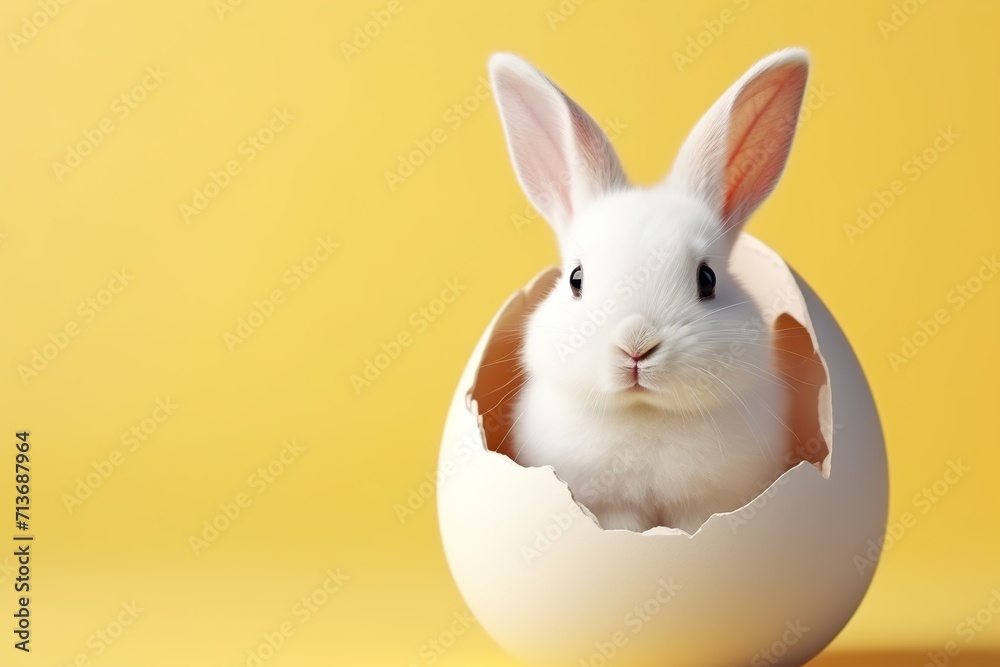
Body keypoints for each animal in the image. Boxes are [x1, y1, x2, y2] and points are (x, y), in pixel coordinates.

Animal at [488, 49, 810, 533]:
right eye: (576, 279)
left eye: (706, 279)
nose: (636, 347)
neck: (645, 413)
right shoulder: (608, 509)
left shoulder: (704, 509)